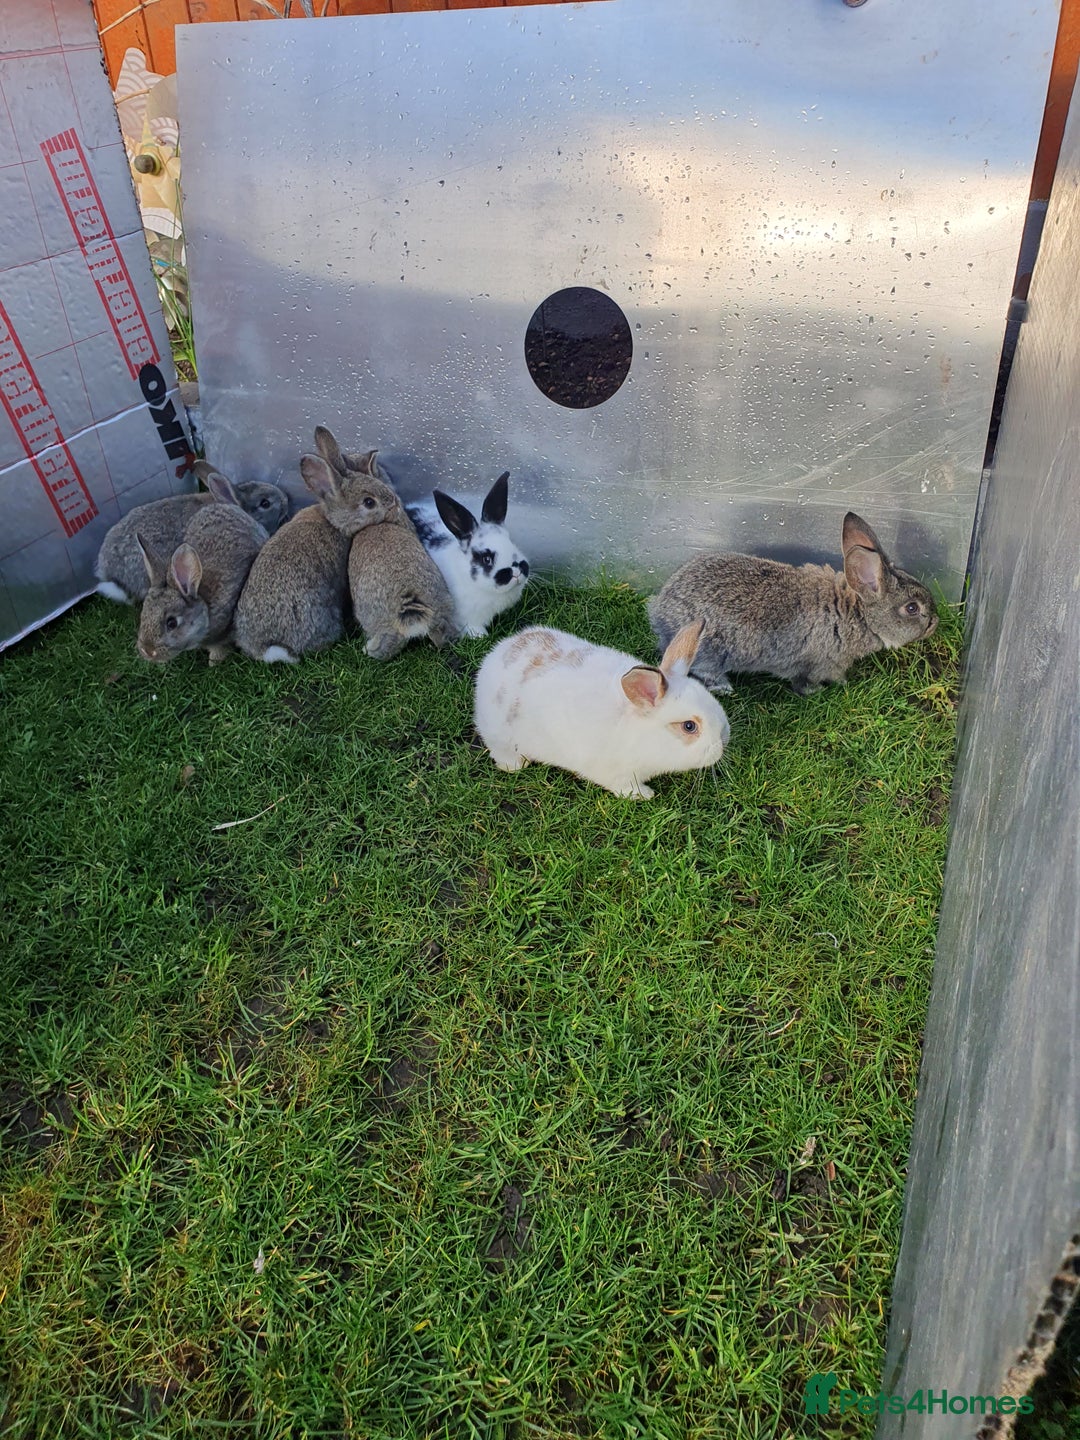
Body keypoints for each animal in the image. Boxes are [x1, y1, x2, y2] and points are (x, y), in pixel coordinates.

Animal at [474, 620, 730, 799]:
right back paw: (515, 766)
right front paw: (644, 795)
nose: (724, 739)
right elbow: (626, 787)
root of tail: (497, 653)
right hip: (500, 737)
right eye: (689, 726)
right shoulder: (618, 774)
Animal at [648, 512, 938, 696]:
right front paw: (825, 689)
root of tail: (659, 614)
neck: (857, 613)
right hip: (710, 651)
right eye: (912, 608)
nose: (936, 622)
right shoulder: (819, 664)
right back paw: (724, 687)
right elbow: (804, 683)